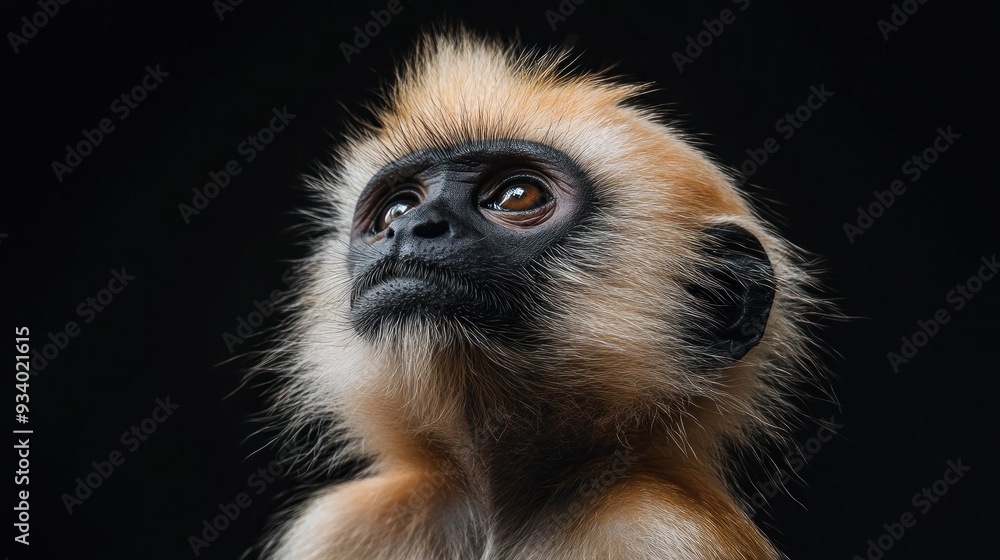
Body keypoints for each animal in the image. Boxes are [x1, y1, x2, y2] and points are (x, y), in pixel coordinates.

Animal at [260, 29, 825, 560]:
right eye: (395, 211)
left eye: (517, 196)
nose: (413, 226)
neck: (498, 505)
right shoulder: (344, 524)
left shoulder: (660, 528)